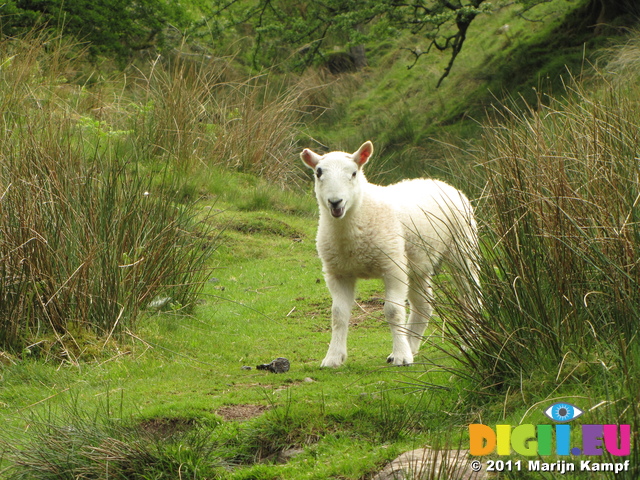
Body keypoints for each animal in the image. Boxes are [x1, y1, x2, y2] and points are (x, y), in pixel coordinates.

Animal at [302, 141, 480, 366]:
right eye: (318, 172)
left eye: (353, 173)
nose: (335, 202)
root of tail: (441, 182)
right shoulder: (338, 272)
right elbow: (338, 315)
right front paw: (333, 358)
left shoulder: (393, 266)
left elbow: (393, 311)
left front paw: (401, 356)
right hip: (416, 262)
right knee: (423, 305)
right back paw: (411, 346)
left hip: (463, 248)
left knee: (472, 296)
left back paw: (469, 342)